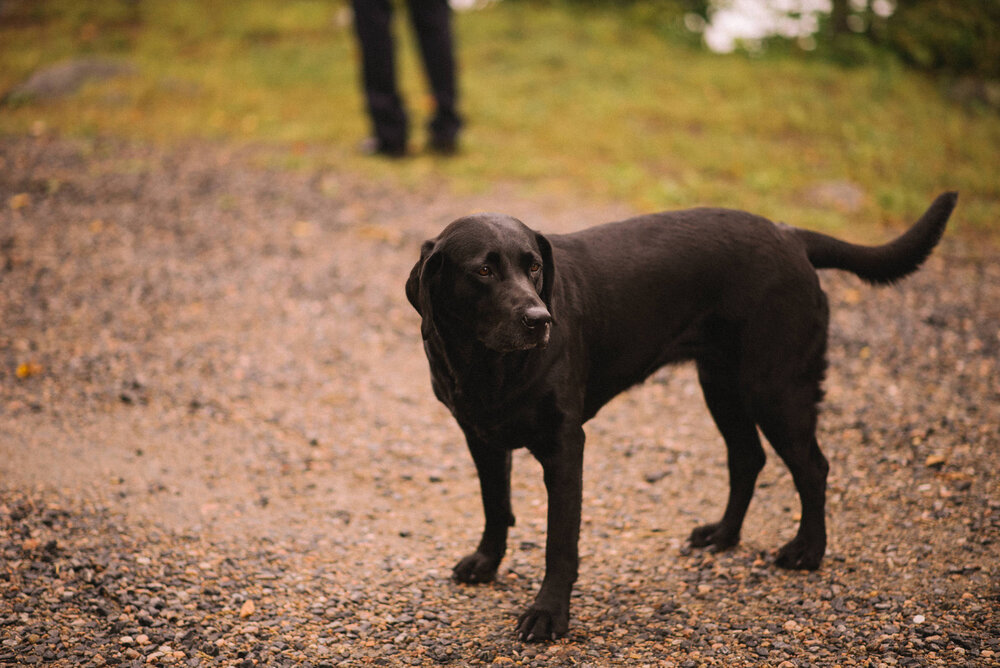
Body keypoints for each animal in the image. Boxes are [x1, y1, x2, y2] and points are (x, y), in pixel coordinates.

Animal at [408, 190, 960, 640]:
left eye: (535, 267)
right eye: (483, 270)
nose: (539, 319)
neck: (487, 363)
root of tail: (788, 233)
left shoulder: (565, 446)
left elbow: (559, 541)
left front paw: (548, 616)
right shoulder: (480, 435)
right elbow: (495, 505)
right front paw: (486, 562)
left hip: (776, 387)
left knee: (812, 467)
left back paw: (806, 551)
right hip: (721, 384)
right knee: (748, 458)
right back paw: (722, 535)